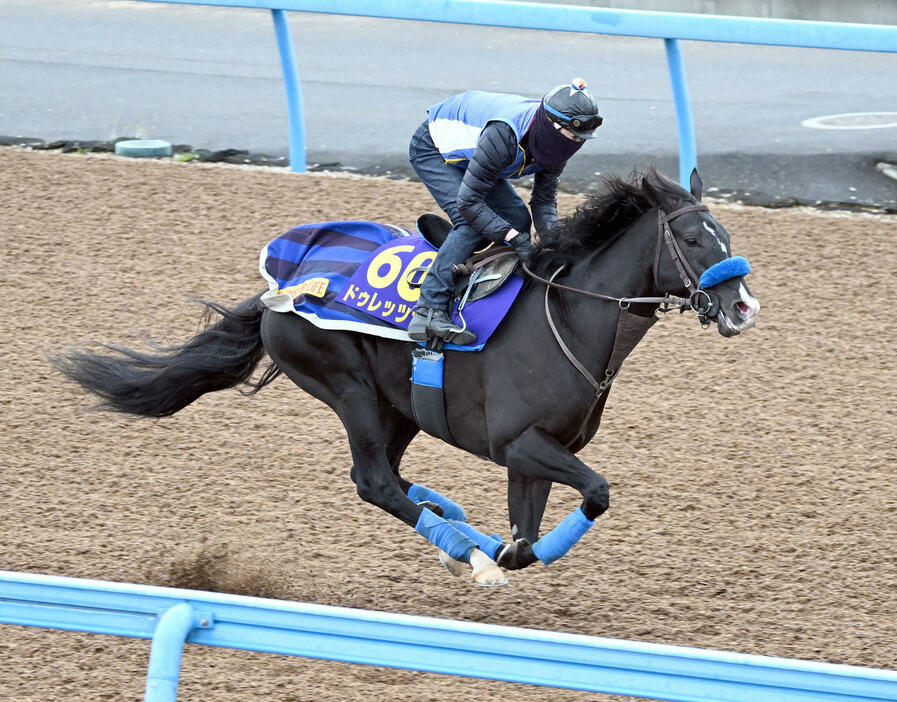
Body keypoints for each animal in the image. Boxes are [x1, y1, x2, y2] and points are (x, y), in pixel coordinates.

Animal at [54, 166, 756, 588]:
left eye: (725, 231)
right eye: (695, 238)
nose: (744, 306)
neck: (570, 318)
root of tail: (283, 283)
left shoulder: (530, 454)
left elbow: (527, 535)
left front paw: (504, 549)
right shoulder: (519, 443)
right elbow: (596, 492)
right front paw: (493, 560)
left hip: (399, 408)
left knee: (385, 478)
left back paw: (454, 526)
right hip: (350, 391)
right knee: (374, 482)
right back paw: (465, 549)